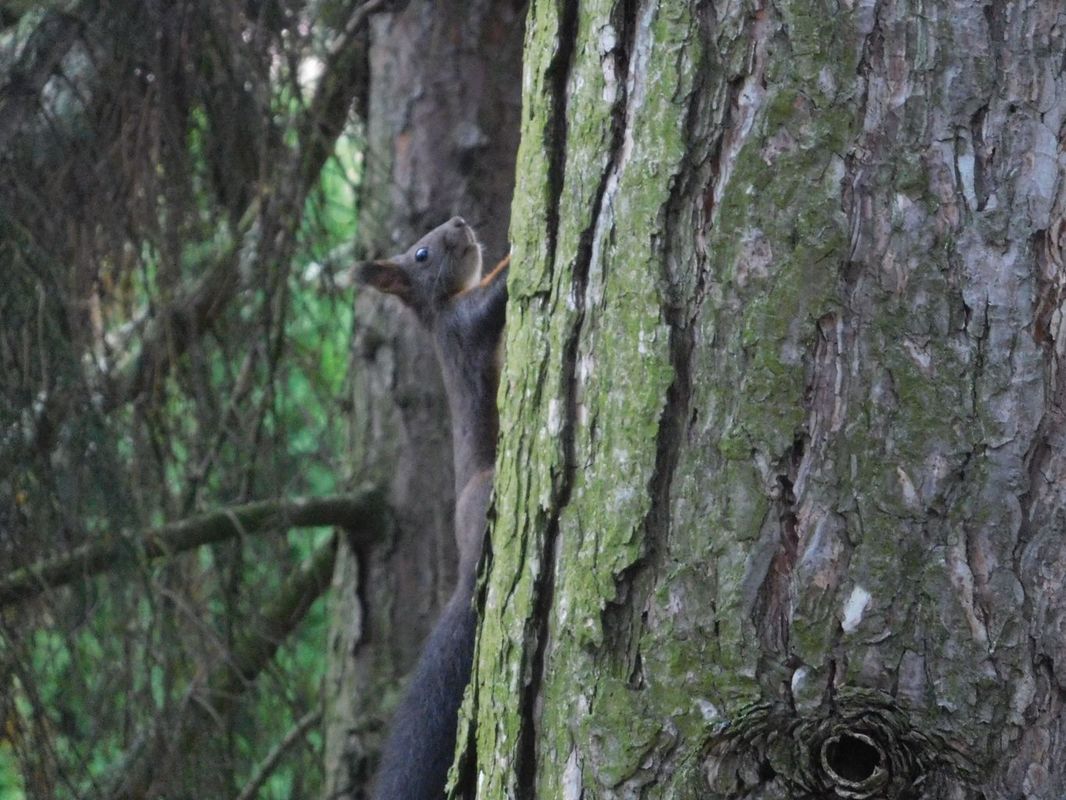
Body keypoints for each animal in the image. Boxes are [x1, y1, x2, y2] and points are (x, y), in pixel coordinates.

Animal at [356, 216, 508, 800]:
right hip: (484, 492)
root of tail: (468, 570)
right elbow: (499, 292)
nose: (460, 222)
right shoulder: (464, 324)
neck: (444, 304)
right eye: (421, 254)